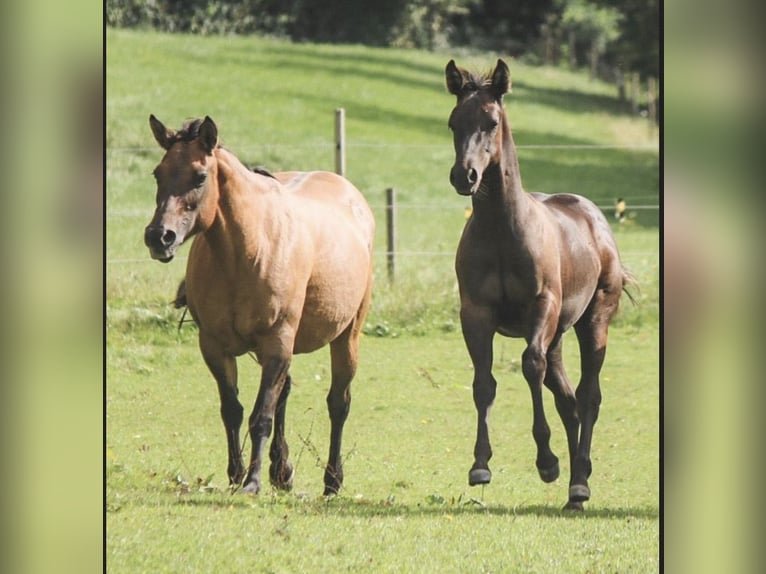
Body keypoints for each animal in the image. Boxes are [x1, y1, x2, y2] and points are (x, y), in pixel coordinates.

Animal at [146, 116, 376, 496]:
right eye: (158, 173)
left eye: (200, 176)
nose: (158, 237)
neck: (246, 252)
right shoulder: (215, 347)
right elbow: (233, 410)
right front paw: (236, 474)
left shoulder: (276, 342)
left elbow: (261, 416)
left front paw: (251, 482)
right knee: (284, 395)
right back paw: (282, 472)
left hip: (346, 337)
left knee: (338, 403)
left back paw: (332, 481)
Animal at [444, 58, 636, 510]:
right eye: (454, 123)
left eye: (492, 122)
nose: (465, 176)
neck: (502, 231)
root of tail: (596, 219)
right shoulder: (474, 313)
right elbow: (484, 382)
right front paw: (480, 466)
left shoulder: (540, 306)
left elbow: (530, 366)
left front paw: (547, 462)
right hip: (559, 335)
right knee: (567, 397)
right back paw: (575, 490)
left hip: (592, 321)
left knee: (587, 395)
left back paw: (579, 481)